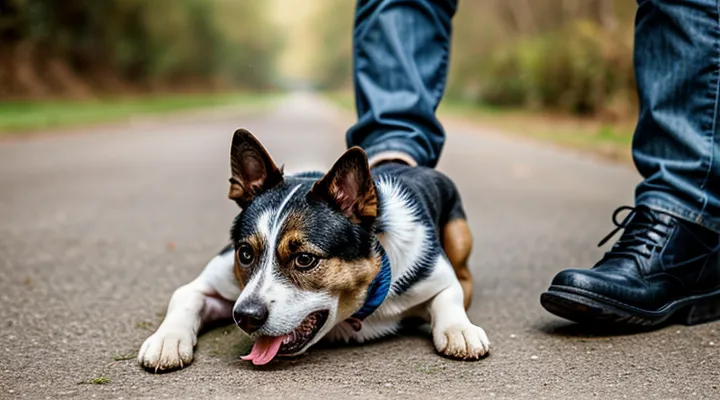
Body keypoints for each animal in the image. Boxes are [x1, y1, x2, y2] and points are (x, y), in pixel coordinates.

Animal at [137, 130, 490, 370]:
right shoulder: (219, 277)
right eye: (245, 254)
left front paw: (460, 329)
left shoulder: (436, 275)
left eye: (305, 259)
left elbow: (449, 296)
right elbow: (184, 295)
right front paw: (167, 340)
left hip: (458, 233)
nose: (246, 317)